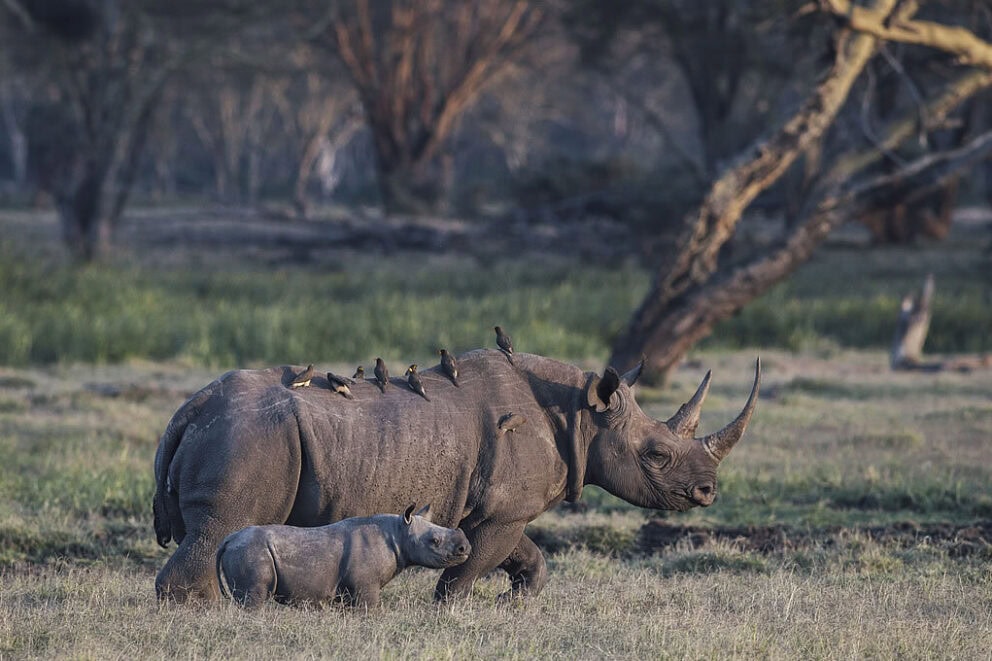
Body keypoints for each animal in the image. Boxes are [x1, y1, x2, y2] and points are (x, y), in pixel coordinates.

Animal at [215, 504, 470, 609]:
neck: (399, 533)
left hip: (245, 549)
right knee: (253, 598)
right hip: (250, 551)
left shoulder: (350, 589)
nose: (465, 549)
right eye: (434, 541)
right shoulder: (366, 585)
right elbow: (370, 609)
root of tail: (228, 540)